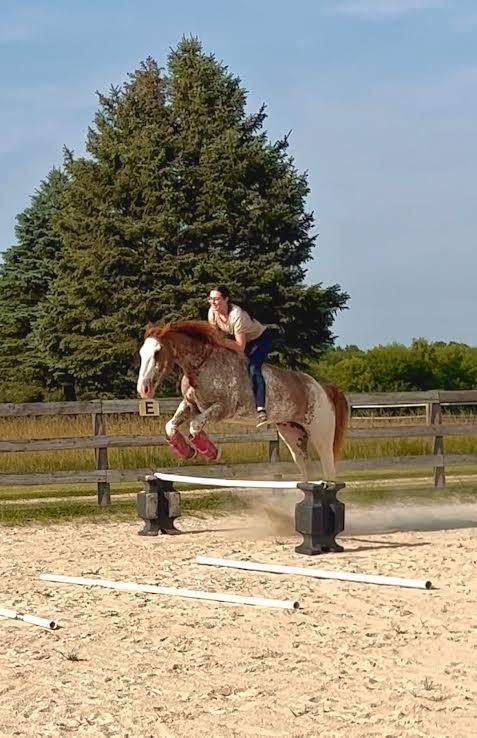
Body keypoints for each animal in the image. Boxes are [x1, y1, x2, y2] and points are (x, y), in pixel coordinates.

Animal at [136, 319, 348, 481]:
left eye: (157, 352)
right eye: (141, 353)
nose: (143, 389)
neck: (202, 365)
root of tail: (323, 389)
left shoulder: (222, 409)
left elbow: (195, 426)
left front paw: (213, 453)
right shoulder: (190, 405)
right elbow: (170, 426)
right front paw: (187, 451)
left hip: (321, 434)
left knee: (328, 467)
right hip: (292, 435)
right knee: (305, 466)